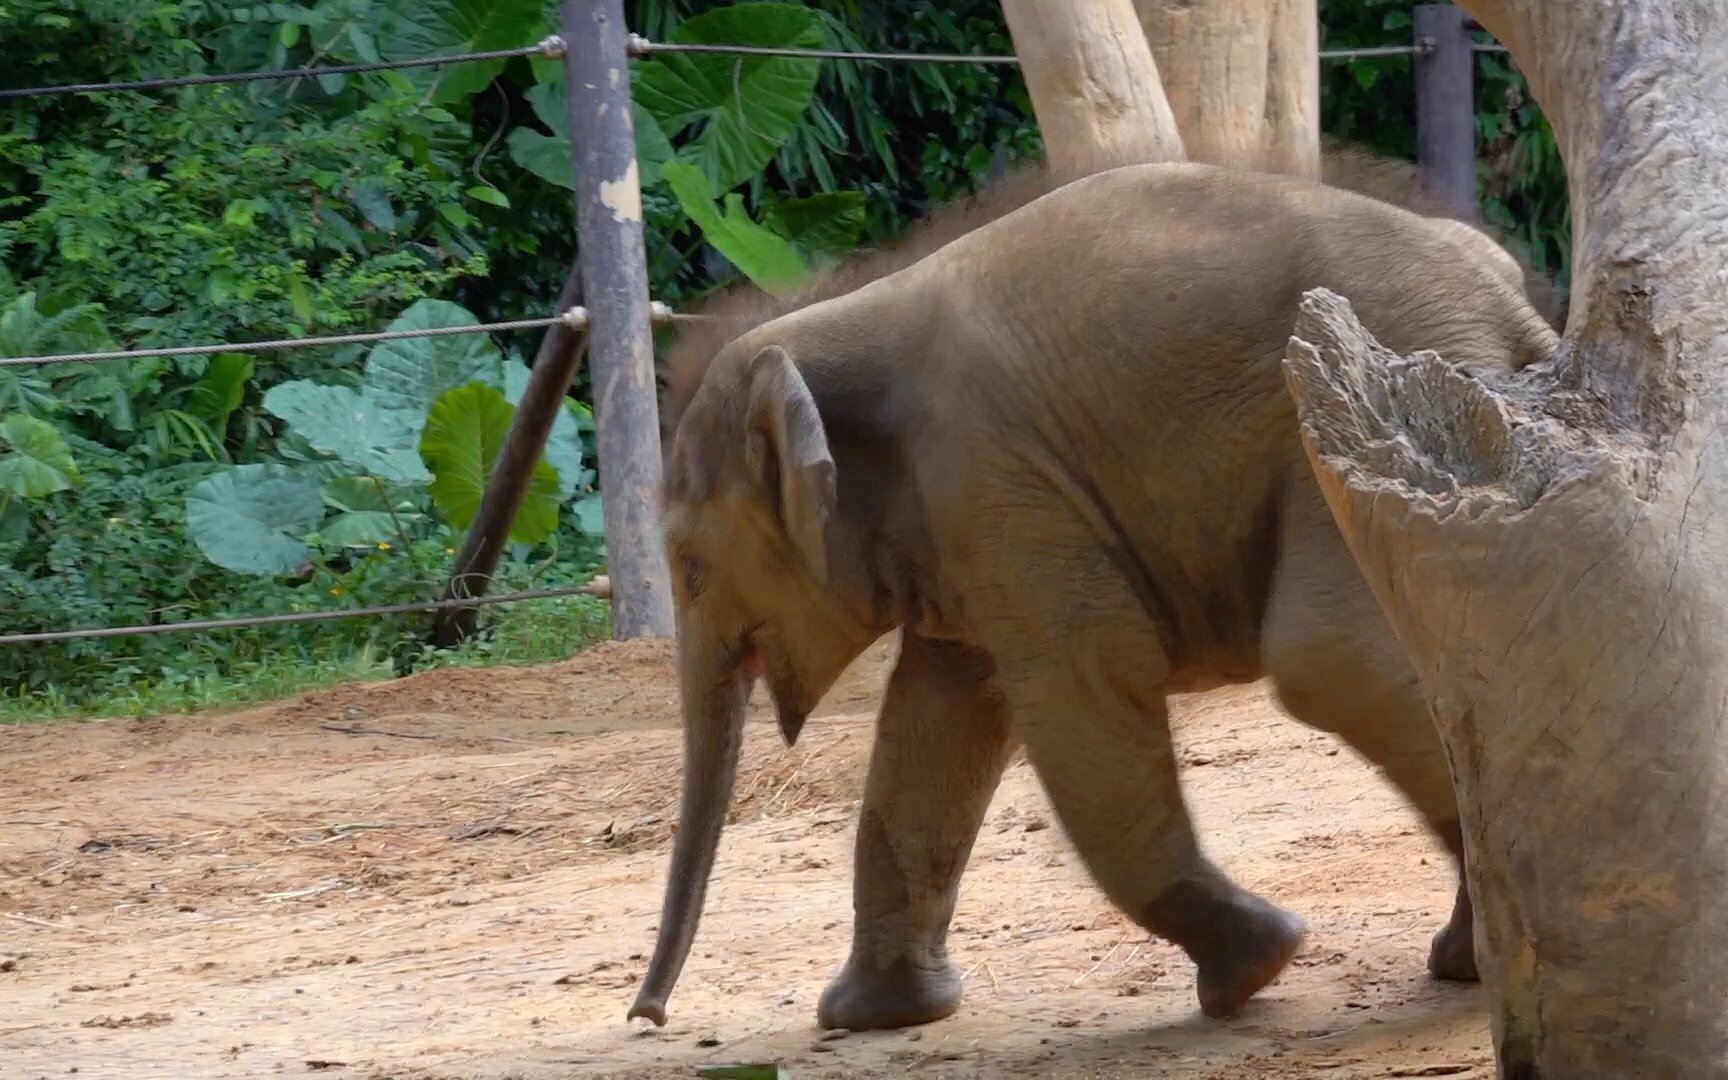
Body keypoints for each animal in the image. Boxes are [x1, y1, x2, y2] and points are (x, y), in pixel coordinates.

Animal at [628, 158, 1562, 1029]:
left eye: (690, 565)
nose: (648, 1015)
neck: (827, 319)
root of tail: (1505, 305)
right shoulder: (967, 534)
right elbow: (936, 725)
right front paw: (871, 1018)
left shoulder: (997, 486)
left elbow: (1082, 696)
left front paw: (1256, 967)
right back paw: (1469, 961)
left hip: (1368, 414)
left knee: (1332, 662)